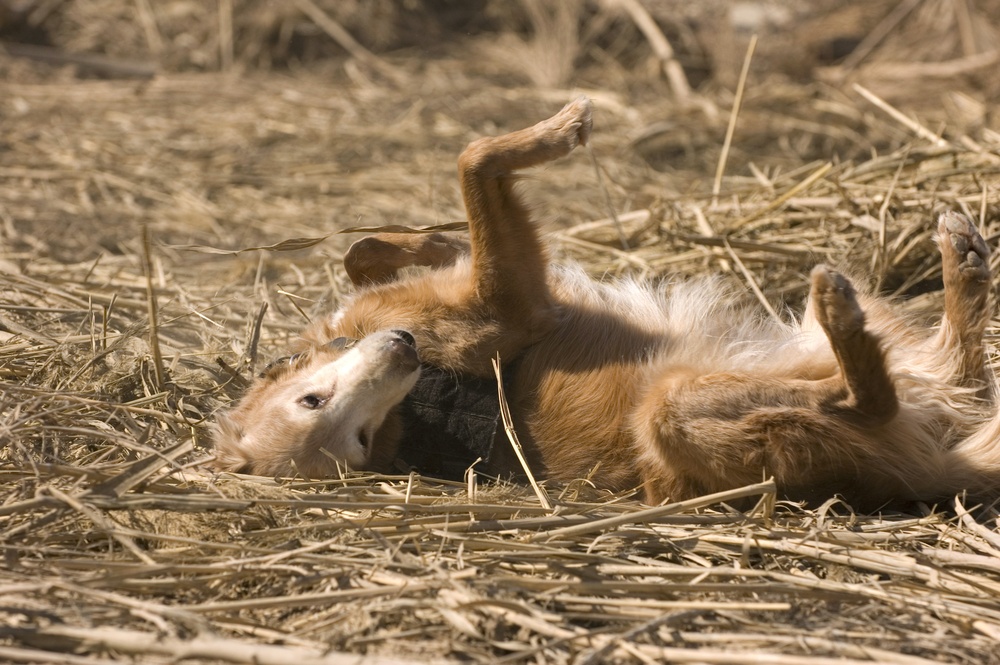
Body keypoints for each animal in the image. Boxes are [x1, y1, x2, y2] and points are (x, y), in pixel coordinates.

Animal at [213, 96, 1000, 506]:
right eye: (354, 438)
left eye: (314, 402)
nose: (404, 353)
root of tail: (935, 469)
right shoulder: (513, 304)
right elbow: (474, 158)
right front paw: (562, 128)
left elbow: (369, 251)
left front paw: (412, 241)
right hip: (679, 409)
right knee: (874, 395)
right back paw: (848, 314)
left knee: (964, 365)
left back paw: (961, 262)